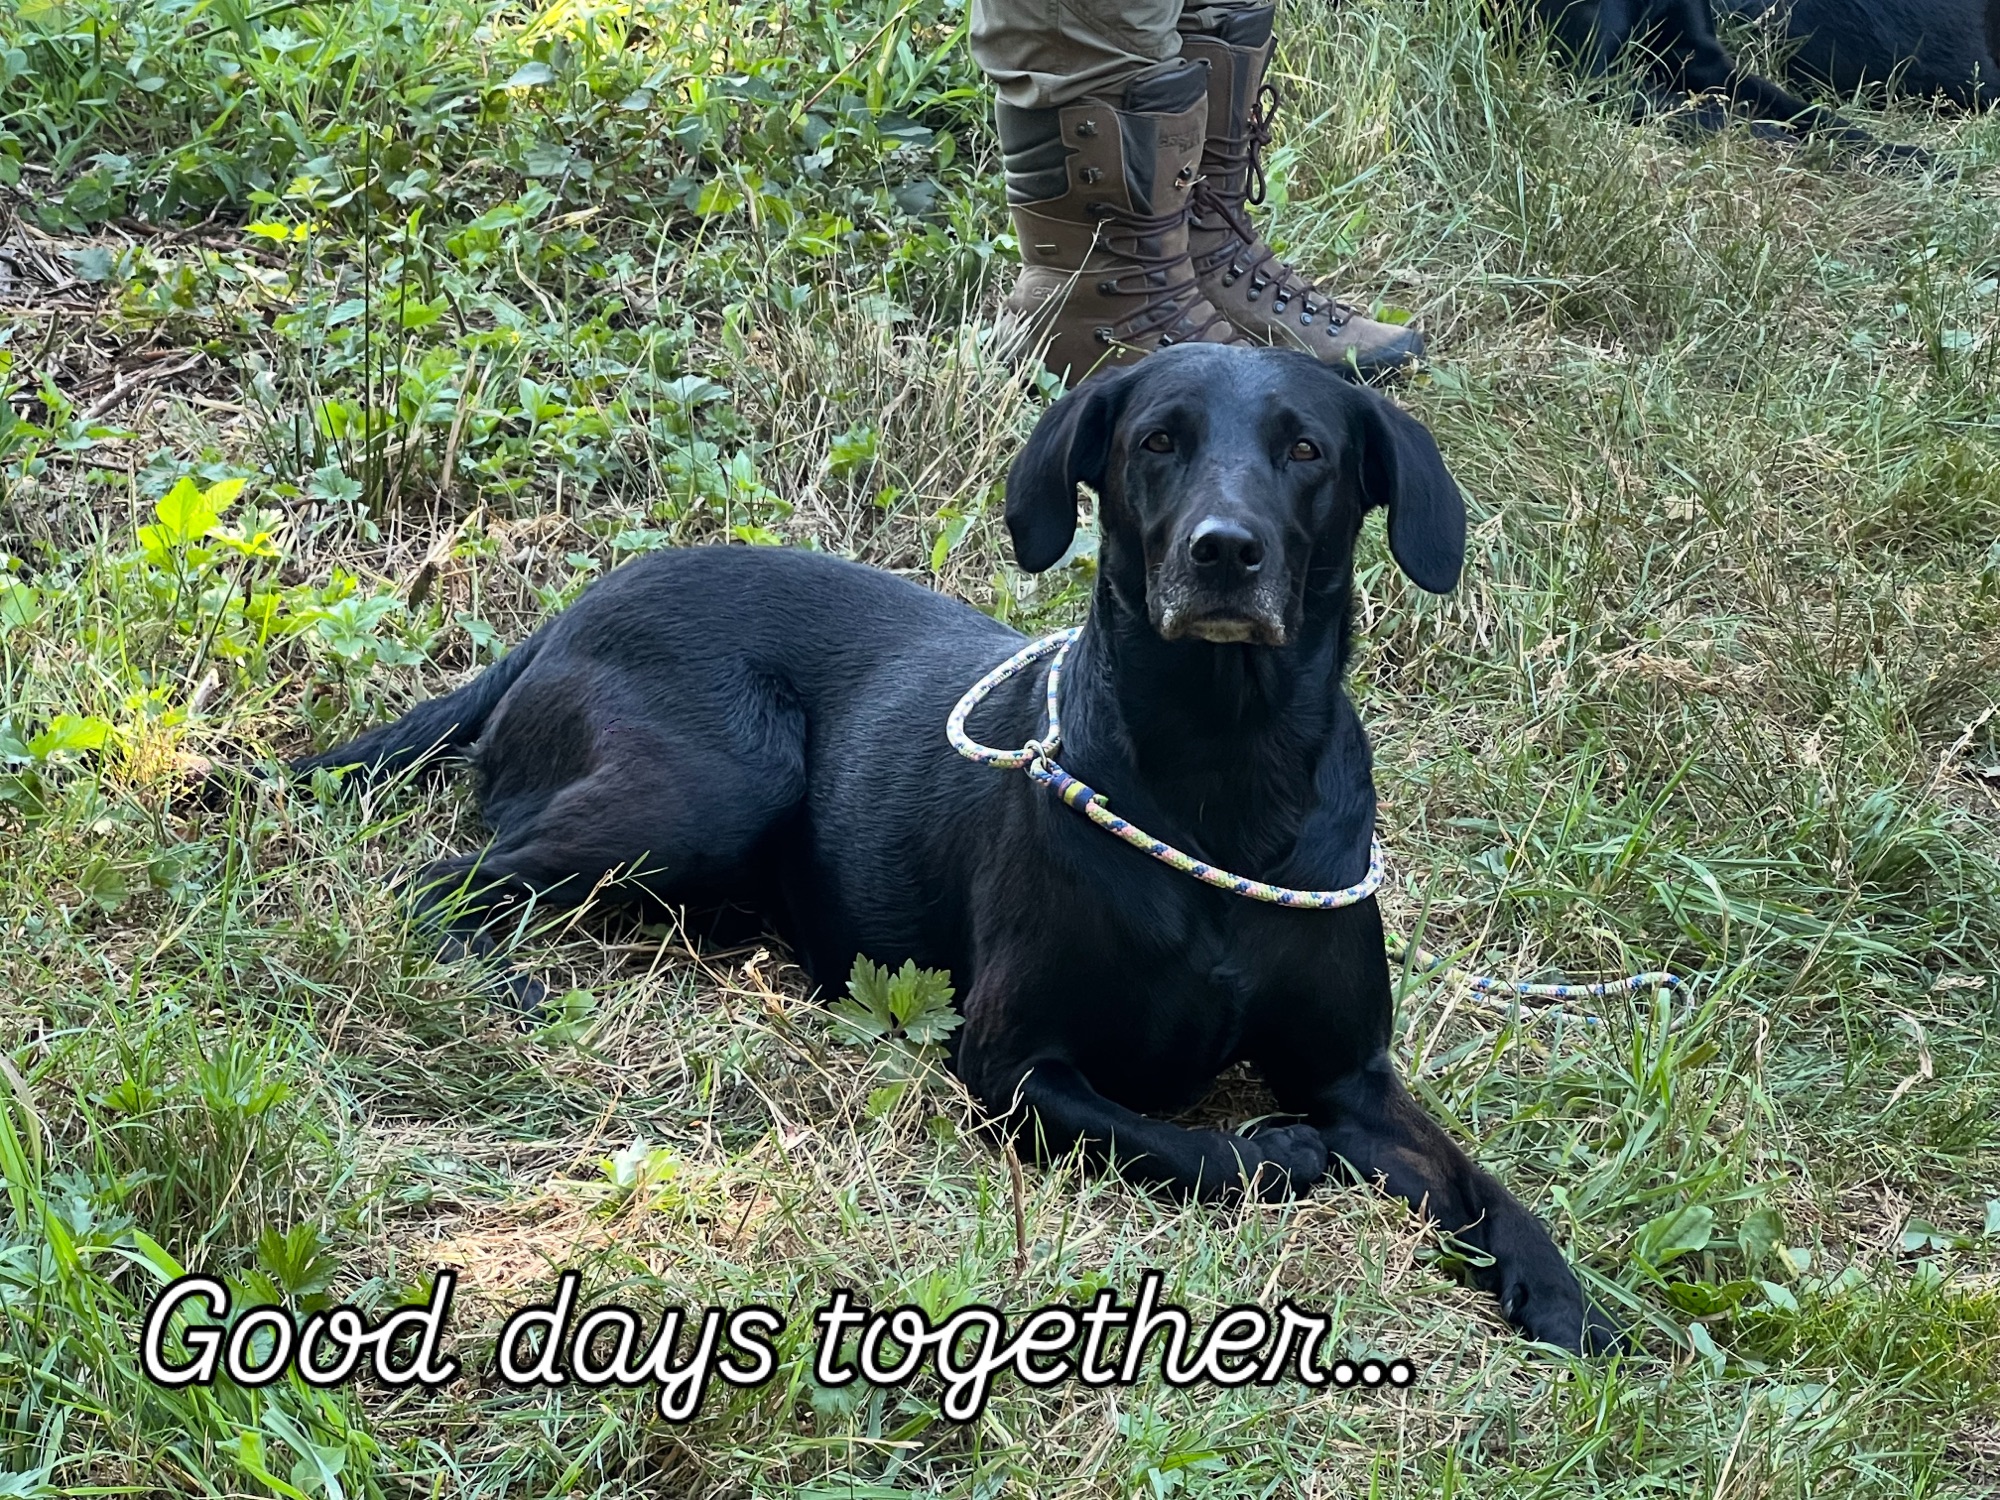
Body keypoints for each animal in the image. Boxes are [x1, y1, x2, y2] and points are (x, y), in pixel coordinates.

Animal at [296, 344, 1622, 1354]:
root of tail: (564, 615)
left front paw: (1561, 1294)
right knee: (438, 881)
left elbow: (1481, 1182)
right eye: (1158, 442)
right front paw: (1278, 1154)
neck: (1222, 777)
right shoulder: (1011, 1067)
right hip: (708, 789)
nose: (1223, 551)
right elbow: (1200, 1149)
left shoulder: (1355, 1077)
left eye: (1307, 452)